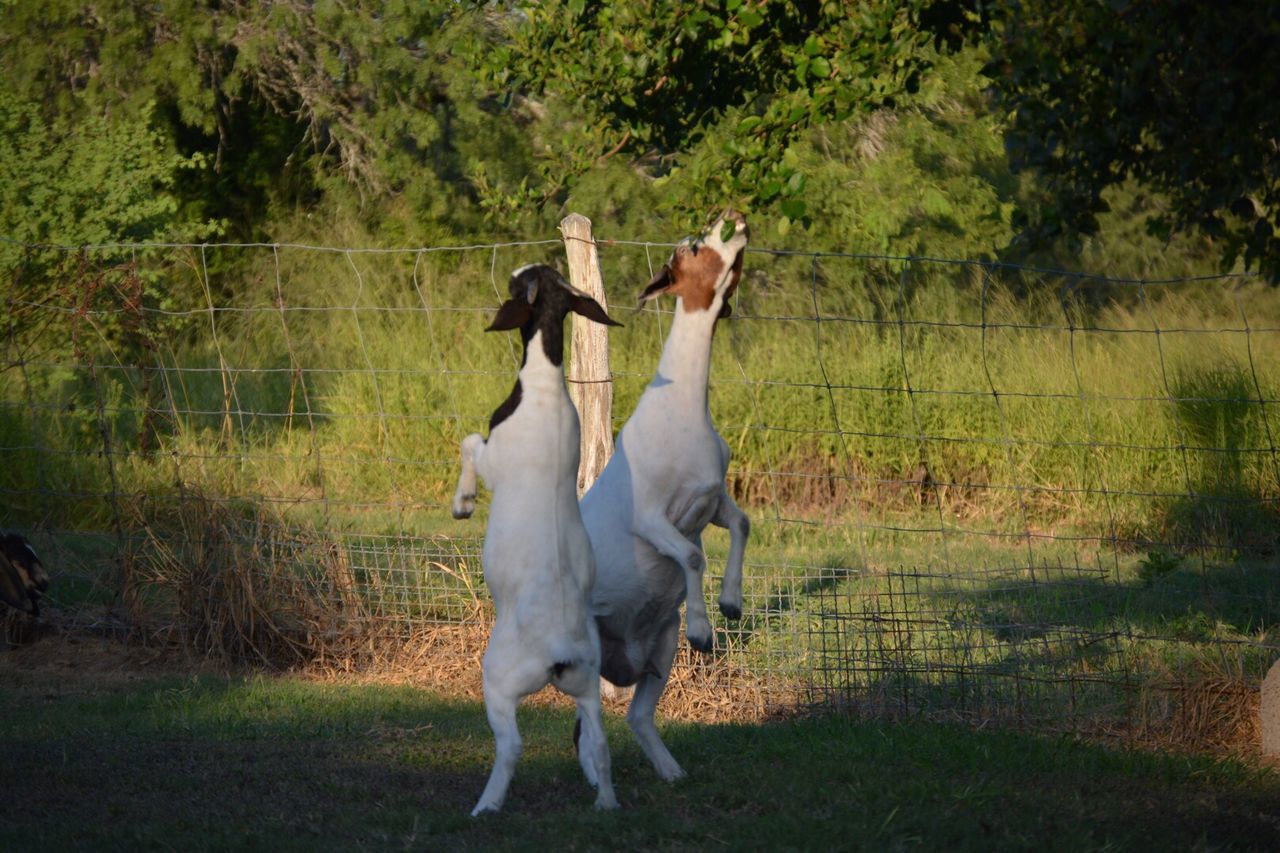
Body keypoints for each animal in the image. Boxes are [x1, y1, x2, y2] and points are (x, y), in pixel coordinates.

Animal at [453, 262, 622, 814]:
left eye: (521, 280)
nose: (514, 268)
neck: (545, 384)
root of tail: (559, 652)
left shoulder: (492, 455)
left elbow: (469, 444)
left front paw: (463, 503)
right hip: (588, 688)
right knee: (598, 744)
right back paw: (605, 801)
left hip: (499, 682)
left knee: (511, 747)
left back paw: (485, 806)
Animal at [581, 207, 747, 778]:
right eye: (692, 248)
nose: (735, 216)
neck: (683, 408)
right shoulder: (652, 517)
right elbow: (692, 556)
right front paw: (703, 629)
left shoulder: (710, 499)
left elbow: (742, 524)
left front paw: (732, 603)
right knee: (585, 719)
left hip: (659, 648)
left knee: (635, 715)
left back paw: (672, 771)